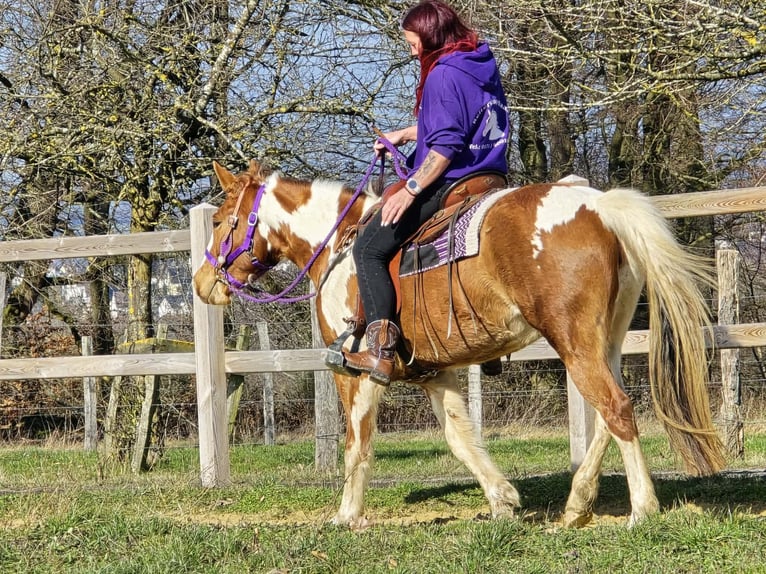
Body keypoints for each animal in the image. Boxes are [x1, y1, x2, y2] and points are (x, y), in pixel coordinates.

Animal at [193, 159, 725, 529]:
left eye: (219, 221)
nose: (202, 284)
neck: (338, 246)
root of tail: (600, 206)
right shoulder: (436, 373)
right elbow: (460, 438)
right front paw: (502, 500)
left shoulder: (356, 372)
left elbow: (357, 443)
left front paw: (346, 515)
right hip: (604, 341)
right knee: (605, 416)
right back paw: (577, 506)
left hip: (574, 341)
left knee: (615, 408)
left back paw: (642, 509)